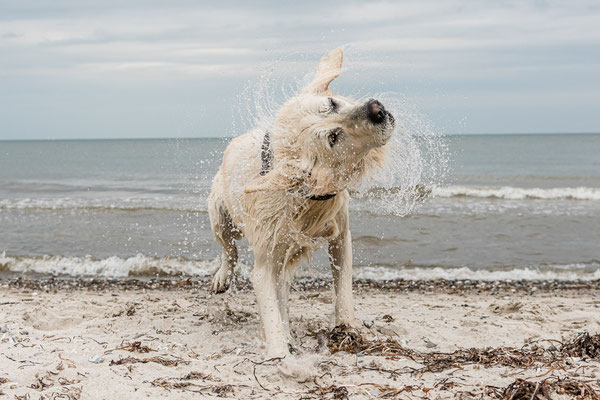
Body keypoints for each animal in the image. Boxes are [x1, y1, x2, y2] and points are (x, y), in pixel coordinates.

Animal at [209, 49, 396, 356]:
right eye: (333, 137)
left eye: (332, 103)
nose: (376, 109)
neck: (304, 198)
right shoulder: (264, 263)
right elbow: (268, 306)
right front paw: (279, 353)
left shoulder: (341, 235)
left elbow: (343, 288)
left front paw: (346, 327)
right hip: (219, 215)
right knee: (229, 249)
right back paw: (223, 277)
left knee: (282, 285)